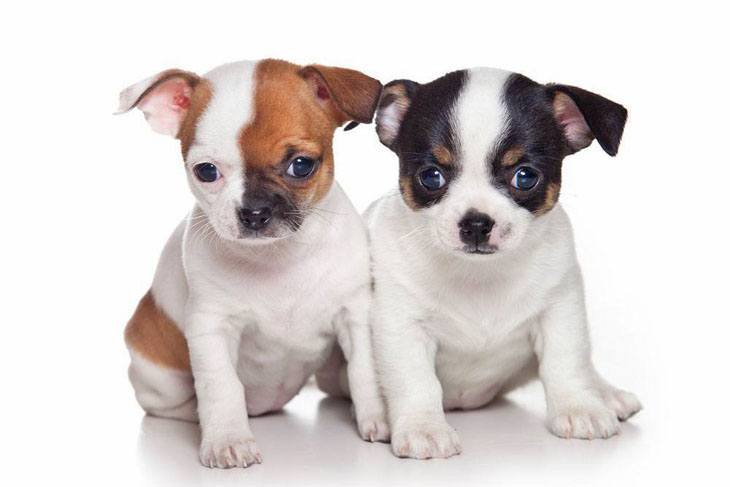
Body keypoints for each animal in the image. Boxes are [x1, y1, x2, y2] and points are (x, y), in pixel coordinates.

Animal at [118, 59, 386, 468]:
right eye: (206, 171)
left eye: (301, 165)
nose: (254, 212)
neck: (277, 258)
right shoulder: (211, 329)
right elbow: (221, 385)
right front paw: (227, 438)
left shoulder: (355, 316)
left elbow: (365, 370)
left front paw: (378, 418)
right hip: (160, 379)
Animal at [366, 68, 640, 462]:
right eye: (431, 176)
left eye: (525, 176)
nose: (476, 223)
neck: (479, 276)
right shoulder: (401, 326)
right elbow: (415, 379)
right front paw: (424, 428)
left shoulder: (560, 310)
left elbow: (567, 360)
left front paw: (579, 408)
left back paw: (606, 394)